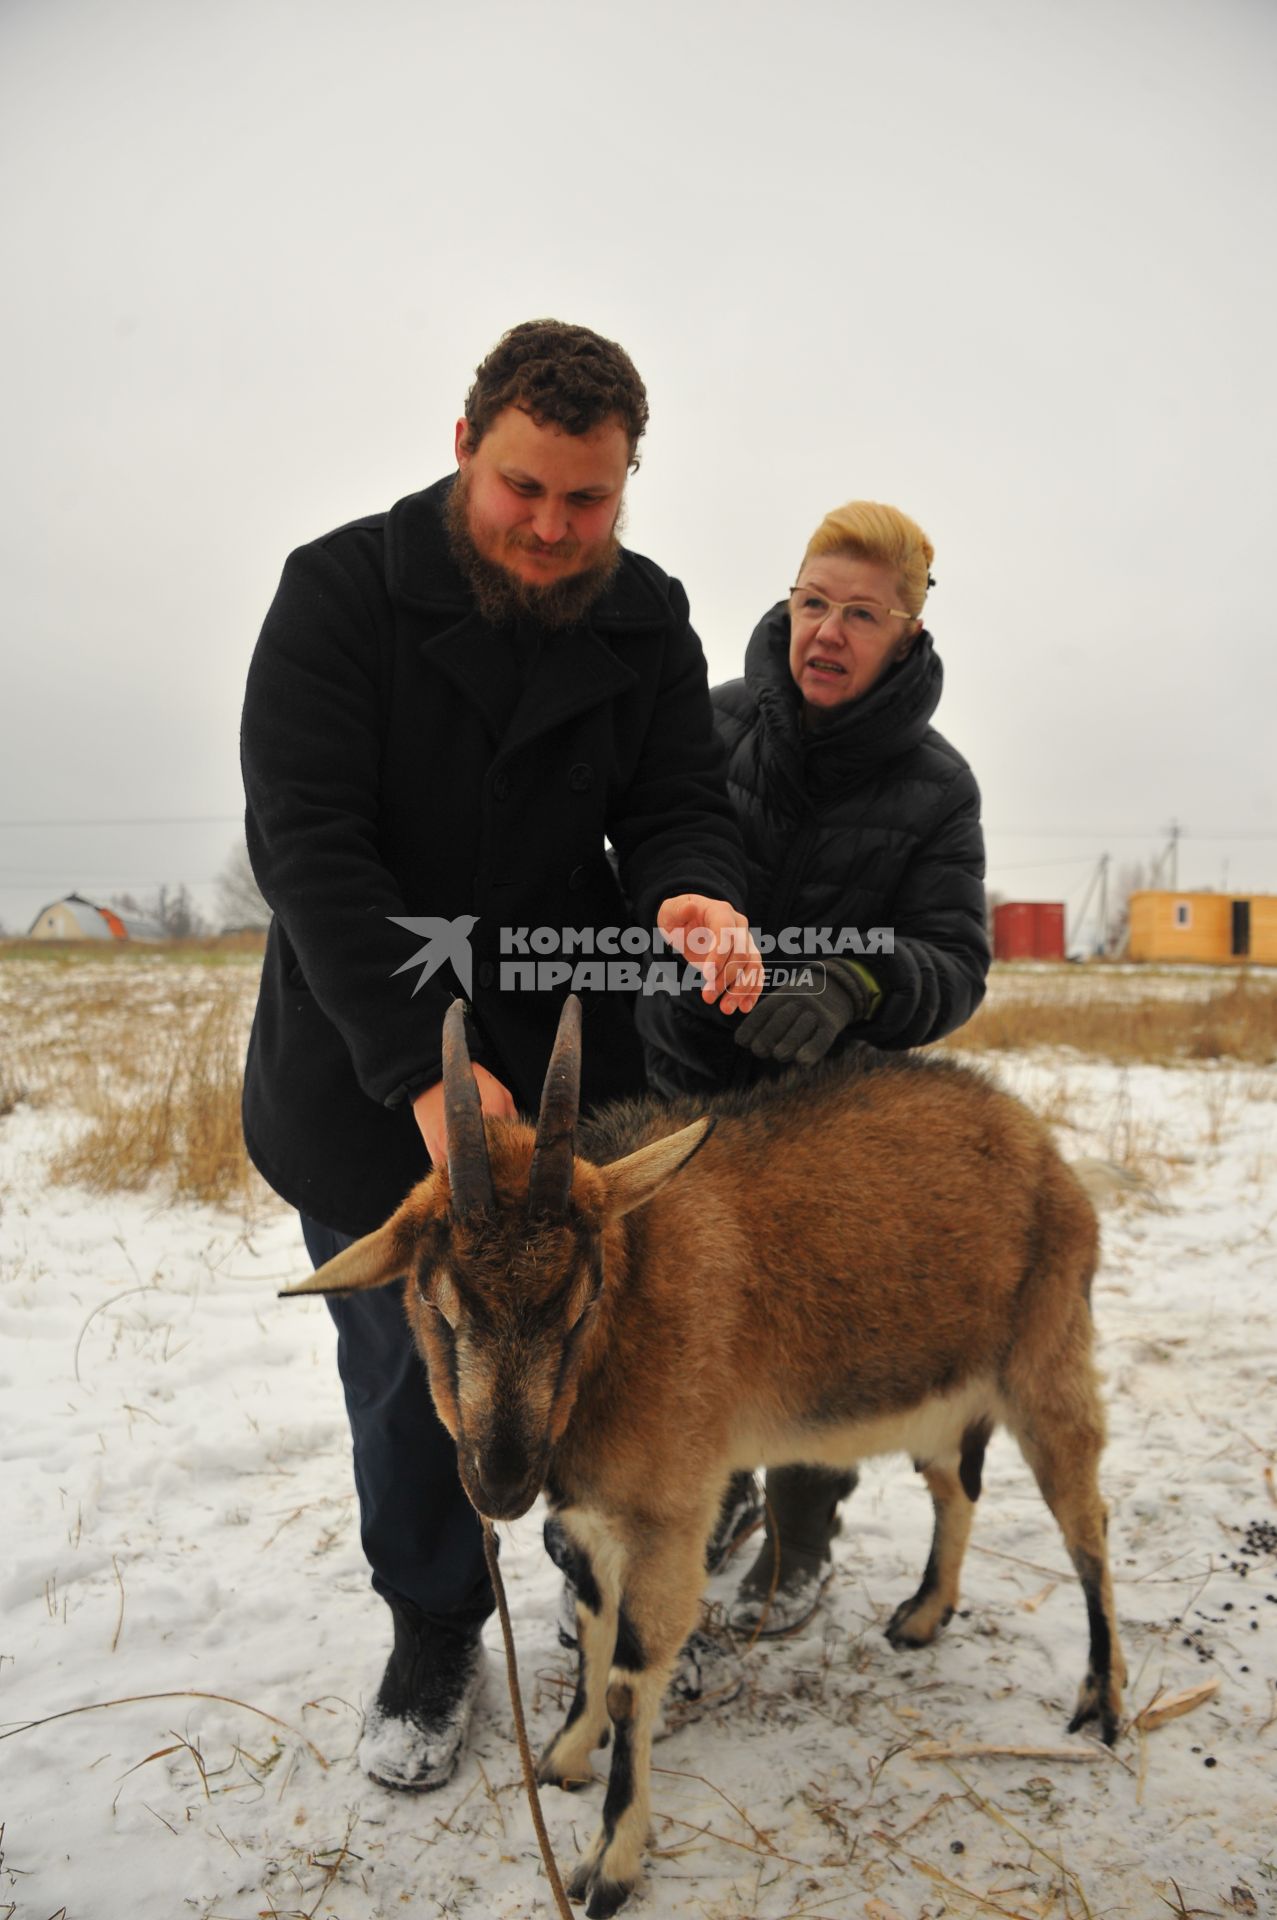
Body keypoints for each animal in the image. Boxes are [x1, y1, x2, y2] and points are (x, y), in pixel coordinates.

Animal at [286, 998, 1113, 1912]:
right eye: (436, 1300)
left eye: (583, 1301)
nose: (499, 1485)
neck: (632, 1314)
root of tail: (1036, 1143)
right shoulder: (594, 1515)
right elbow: (591, 1628)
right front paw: (564, 1757)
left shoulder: (669, 1511)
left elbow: (629, 1673)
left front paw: (608, 1864)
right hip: (937, 1394)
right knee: (955, 1490)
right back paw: (923, 1616)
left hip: (1046, 1358)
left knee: (1086, 1522)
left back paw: (1100, 1703)